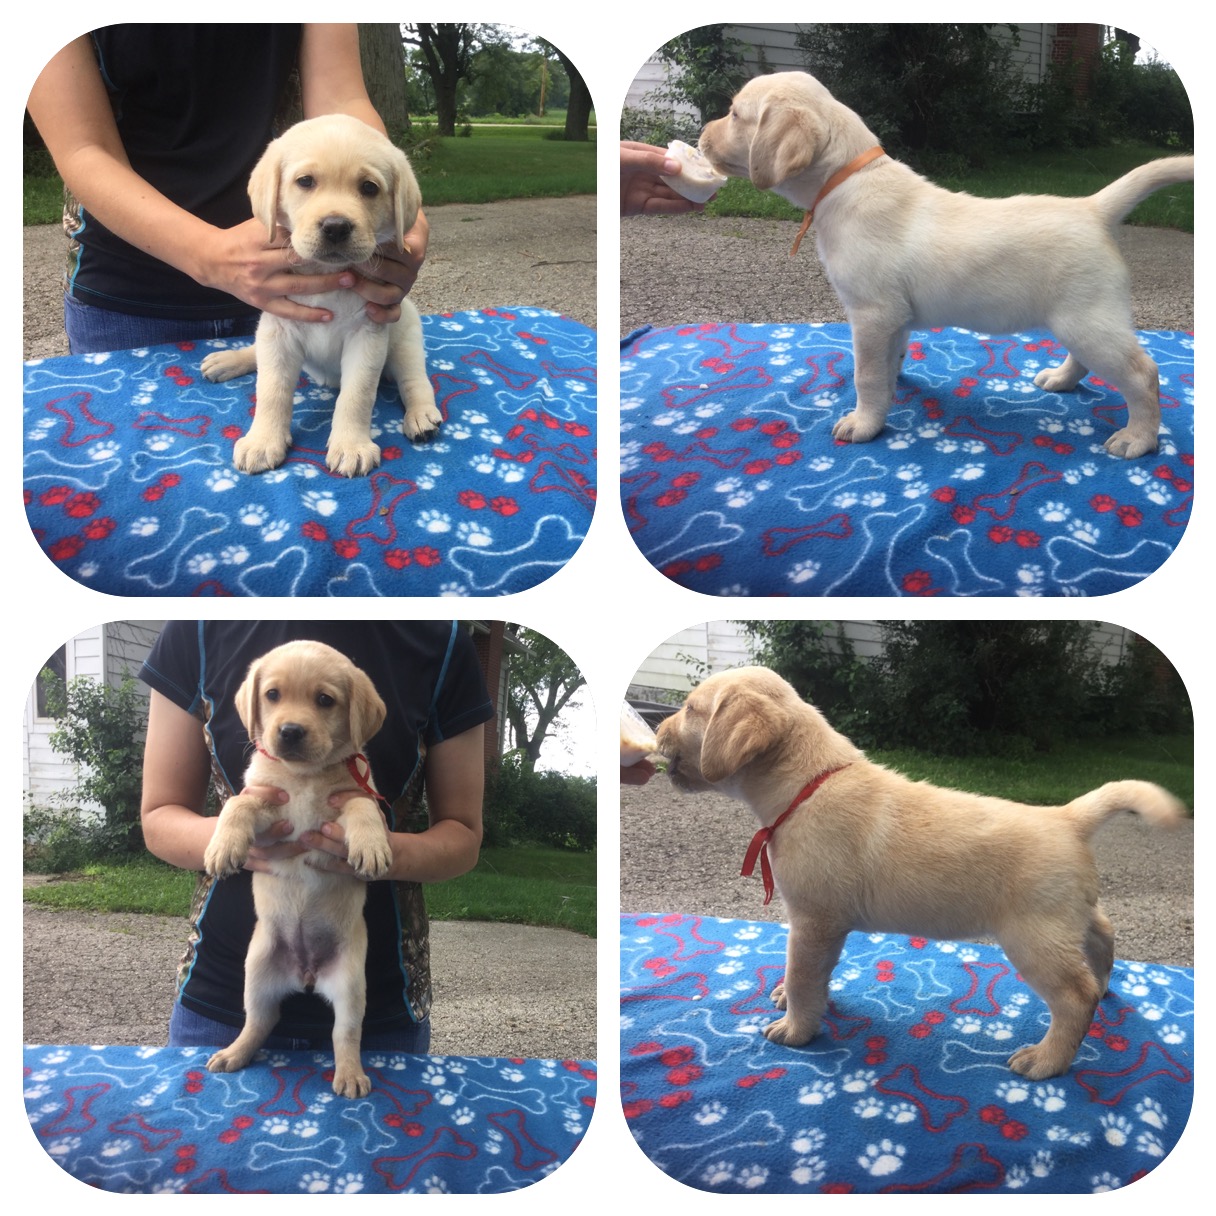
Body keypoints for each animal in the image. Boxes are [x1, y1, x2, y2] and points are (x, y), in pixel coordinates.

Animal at [199, 642, 389, 1099]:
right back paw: (233, 1053)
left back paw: (350, 1074)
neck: (305, 776)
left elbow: (363, 806)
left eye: (325, 700)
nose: (289, 731)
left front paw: (372, 846)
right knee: (260, 1020)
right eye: (272, 695)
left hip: (352, 983)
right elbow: (238, 803)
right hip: (256, 969)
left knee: (345, 1033)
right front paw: (223, 846)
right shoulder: (264, 801)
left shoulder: (351, 797)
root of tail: (306, 974)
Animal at [203, 114, 442, 474]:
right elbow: (271, 390)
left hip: (406, 337)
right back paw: (228, 359)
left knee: (414, 378)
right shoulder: (279, 329)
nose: (336, 226)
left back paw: (421, 416)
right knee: (257, 353)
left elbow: (357, 395)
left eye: (369, 188)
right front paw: (263, 441)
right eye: (305, 182)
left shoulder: (368, 335)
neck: (326, 277)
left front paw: (351, 446)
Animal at [661, 666, 1181, 1084]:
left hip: (1034, 936)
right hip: (1070, 914)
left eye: (689, 709)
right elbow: (811, 976)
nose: (659, 728)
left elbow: (804, 974)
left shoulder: (813, 921)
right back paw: (1105, 984)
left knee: (1075, 996)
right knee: (1103, 937)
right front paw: (788, 999)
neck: (809, 782)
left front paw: (796, 1028)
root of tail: (1069, 817)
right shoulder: (823, 925)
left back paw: (1047, 1060)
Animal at [700, 72, 1191, 459]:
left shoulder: (871, 313)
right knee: (1090, 359)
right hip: (1077, 317)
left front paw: (864, 422)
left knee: (1143, 373)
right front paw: (893, 389)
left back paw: (1138, 438)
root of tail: (1092, 208)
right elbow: (890, 360)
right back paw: (1062, 378)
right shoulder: (893, 316)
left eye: (735, 114)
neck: (846, 180)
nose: (701, 134)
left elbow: (865, 374)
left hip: (1086, 317)